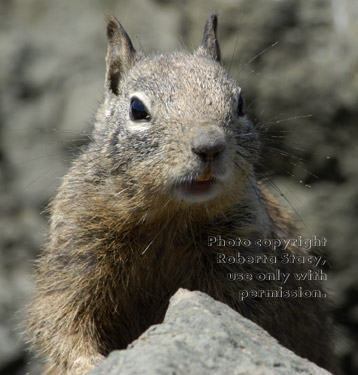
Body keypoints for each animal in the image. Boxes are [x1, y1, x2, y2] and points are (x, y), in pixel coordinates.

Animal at [27, 13, 336, 374]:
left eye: (241, 103)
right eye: (137, 108)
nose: (209, 146)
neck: (169, 216)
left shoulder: (245, 261)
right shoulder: (77, 253)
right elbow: (61, 320)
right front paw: (87, 364)